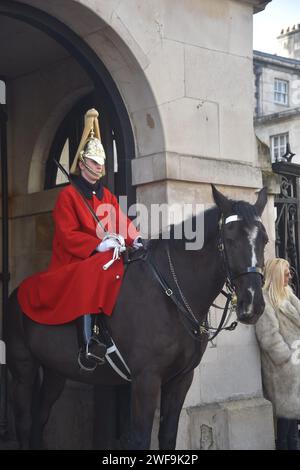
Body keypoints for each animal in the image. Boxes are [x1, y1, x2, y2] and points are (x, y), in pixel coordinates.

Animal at [5, 185, 268, 450]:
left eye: (264, 240)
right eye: (230, 239)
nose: (252, 304)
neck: (171, 291)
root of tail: (17, 292)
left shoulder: (181, 379)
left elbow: (168, 436)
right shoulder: (146, 379)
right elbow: (140, 439)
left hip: (56, 370)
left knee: (40, 417)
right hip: (23, 369)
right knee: (24, 422)